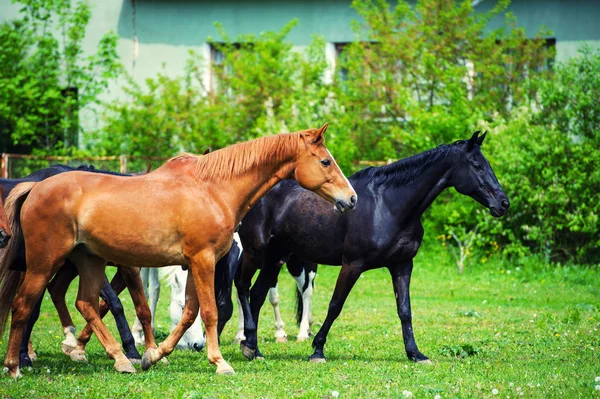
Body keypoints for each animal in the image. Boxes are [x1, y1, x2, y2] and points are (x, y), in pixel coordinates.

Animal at [233, 131, 506, 362]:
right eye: (477, 165)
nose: (504, 203)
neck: (389, 206)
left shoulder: (402, 265)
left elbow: (404, 310)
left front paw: (415, 353)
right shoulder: (352, 265)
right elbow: (335, 306)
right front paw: (318, 350)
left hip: (276, 258)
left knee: (257, 295)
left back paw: (253, 348)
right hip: (256, 253)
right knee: (245, 288)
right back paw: (248, 344)